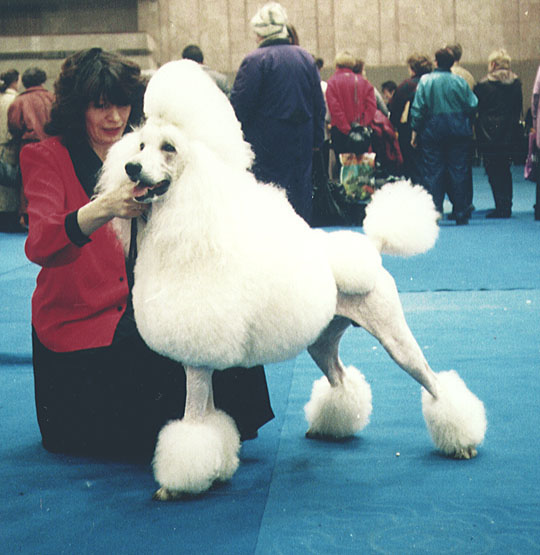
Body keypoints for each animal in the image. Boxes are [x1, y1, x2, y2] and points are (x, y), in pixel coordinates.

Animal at [96, 60, 487, 500]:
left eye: (169, 148)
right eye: (140, 147)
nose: (131, 169)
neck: (186, 223)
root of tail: (371, 247)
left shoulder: (197, 361)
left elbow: (194, 425)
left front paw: (178, 486)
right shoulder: (203, 363)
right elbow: (211, 420)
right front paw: (217, 466)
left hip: (393, 334)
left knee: (432, 381)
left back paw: (462, 440)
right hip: (323, 339)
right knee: (341, 379)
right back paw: (333, 425)